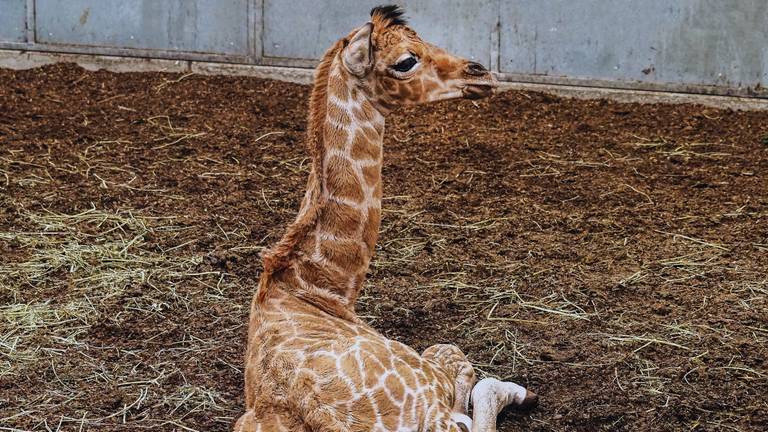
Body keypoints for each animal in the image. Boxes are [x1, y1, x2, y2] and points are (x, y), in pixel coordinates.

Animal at [237, 6, 536, 432]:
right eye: (406, 61)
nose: (481, 73)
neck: (319, 289)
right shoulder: (436, 381)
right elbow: (455, 358)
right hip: (430, 397)